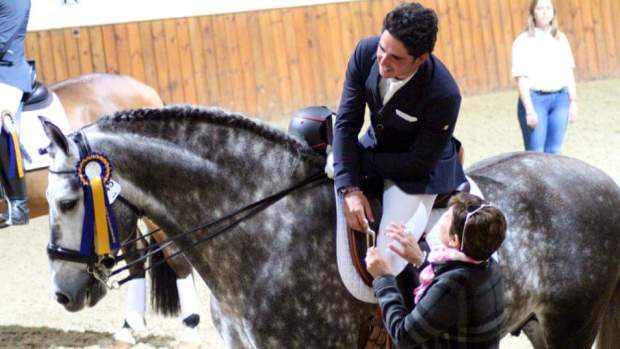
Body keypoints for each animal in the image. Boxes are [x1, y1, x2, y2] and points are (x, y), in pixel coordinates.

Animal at [43, 106, 620, 348]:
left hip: (570, 325)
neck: (263, 230)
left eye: (69, 201)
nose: (63, 294)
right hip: (538, 325)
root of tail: (603, 182)